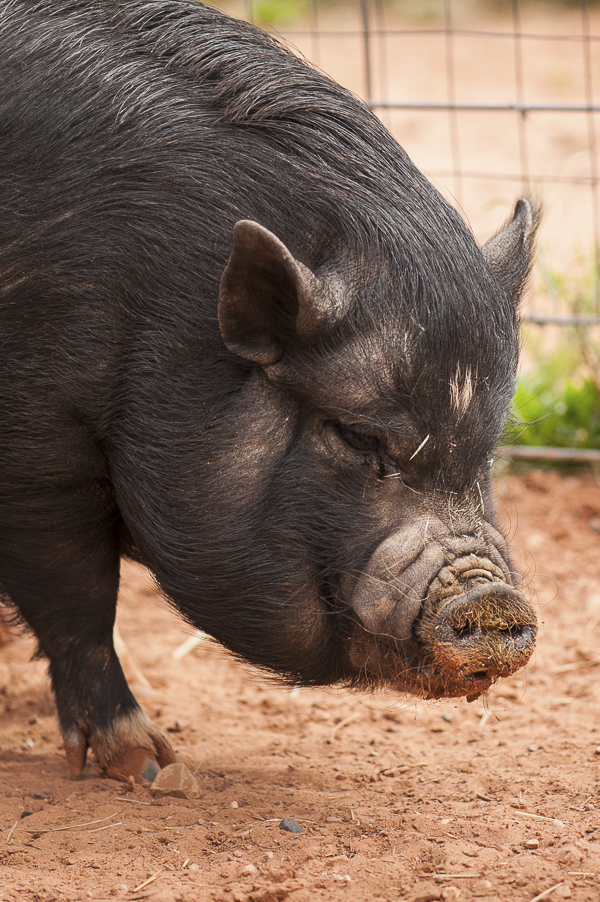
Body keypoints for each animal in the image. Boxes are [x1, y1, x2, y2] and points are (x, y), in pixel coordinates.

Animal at [0, 0, 540, 784]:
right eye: (357, 434)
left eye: (488, 451)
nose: (493, 596)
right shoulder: (39, 451)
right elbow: (80, 603)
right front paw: (153, 769)